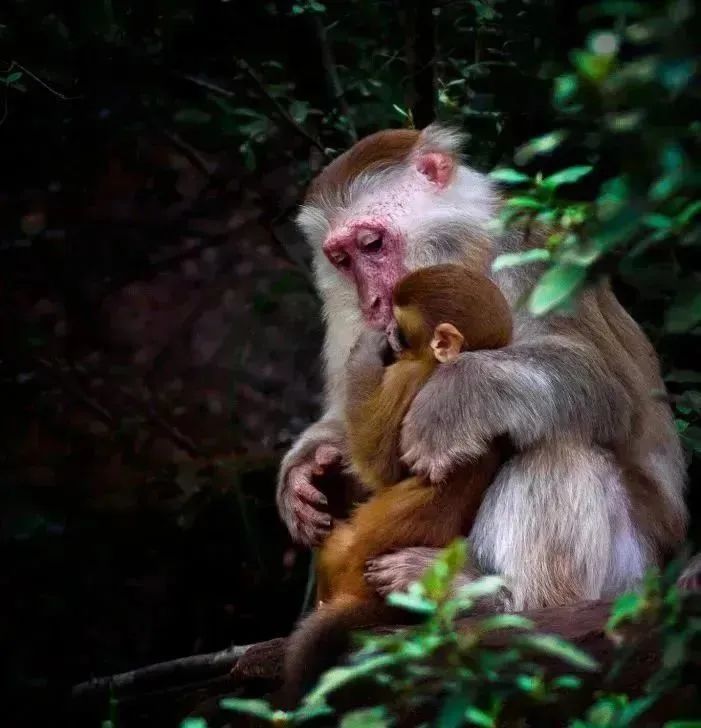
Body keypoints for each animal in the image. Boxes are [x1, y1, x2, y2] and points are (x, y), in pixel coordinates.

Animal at [278, 264, 516, 704]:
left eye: (401, 328)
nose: (386, 329)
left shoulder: (411, 374)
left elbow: (382, 464)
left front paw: (365, 351)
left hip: (352, 564)